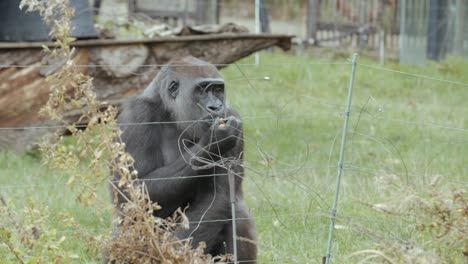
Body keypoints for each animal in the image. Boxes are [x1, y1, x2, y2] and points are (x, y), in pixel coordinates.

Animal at [111, 55, 258, 262]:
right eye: (202, 90)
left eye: (218, 90)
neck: (171, 113)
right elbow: (132, 193)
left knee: (238, 213)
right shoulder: (137, 114)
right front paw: (212, 143)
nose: (216, 107)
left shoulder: (232, 115)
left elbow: (218, 197)